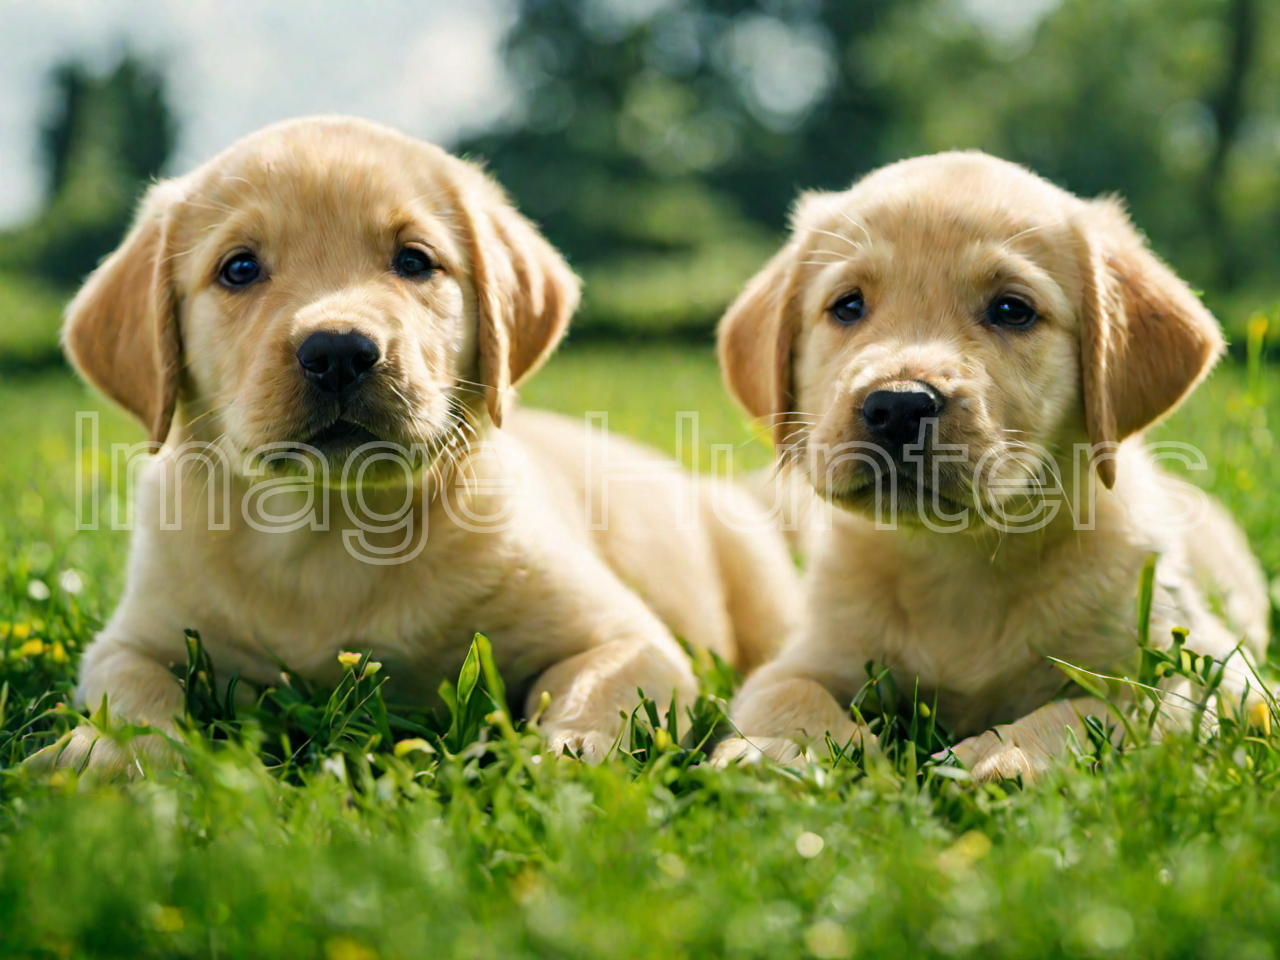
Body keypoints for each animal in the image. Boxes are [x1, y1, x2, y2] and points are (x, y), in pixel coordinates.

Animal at [60, 114, 798, 773]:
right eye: (238, 268)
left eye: (414, 261)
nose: (337, 352)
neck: (333, 529)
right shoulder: (133, 637)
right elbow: (132, 690)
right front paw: (110, 759)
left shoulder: (629, 637)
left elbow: (601, 692)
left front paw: (570, 755)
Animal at [716, 150, 1264, 783]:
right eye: (847, 305)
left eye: (1012, 310)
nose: (898, 405)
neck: (960, 558)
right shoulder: (810, 649)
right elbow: (785, 691)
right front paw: (781, 748)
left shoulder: (1213, 672)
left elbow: (1108, 706)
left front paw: (1002, 753)